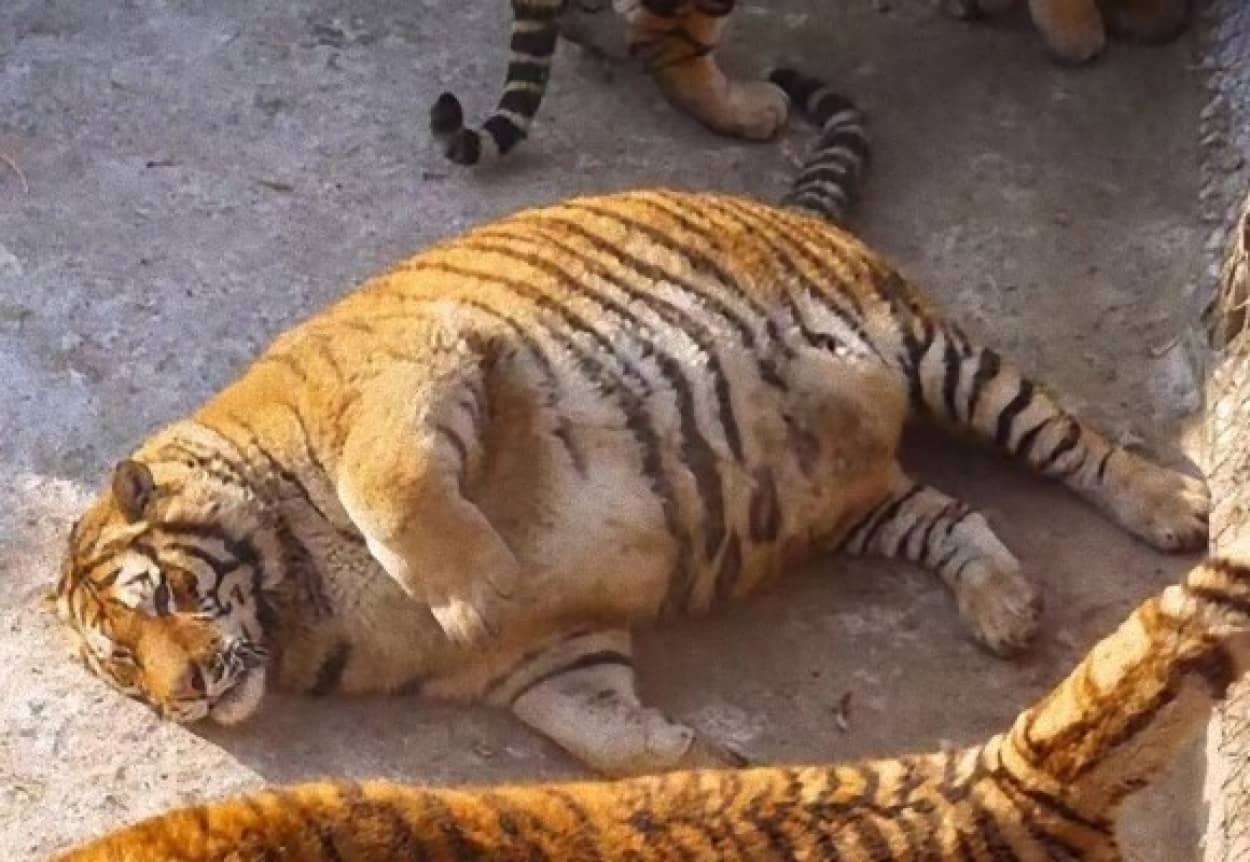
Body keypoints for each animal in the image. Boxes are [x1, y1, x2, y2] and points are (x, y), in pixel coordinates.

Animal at [51, 69, 1207, 780]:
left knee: (1068, 440)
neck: (300, 609)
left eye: (165, 596)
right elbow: (599, 736)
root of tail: (788, 206)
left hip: (932, 352)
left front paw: (475, 587)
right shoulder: (543, 659)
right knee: (952, 515)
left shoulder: (410, 374)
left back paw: (1172, 505)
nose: (188, 696)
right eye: (126, 667)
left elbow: (397, 489)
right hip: (859, 505)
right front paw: (699, 758)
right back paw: (1005, 610)